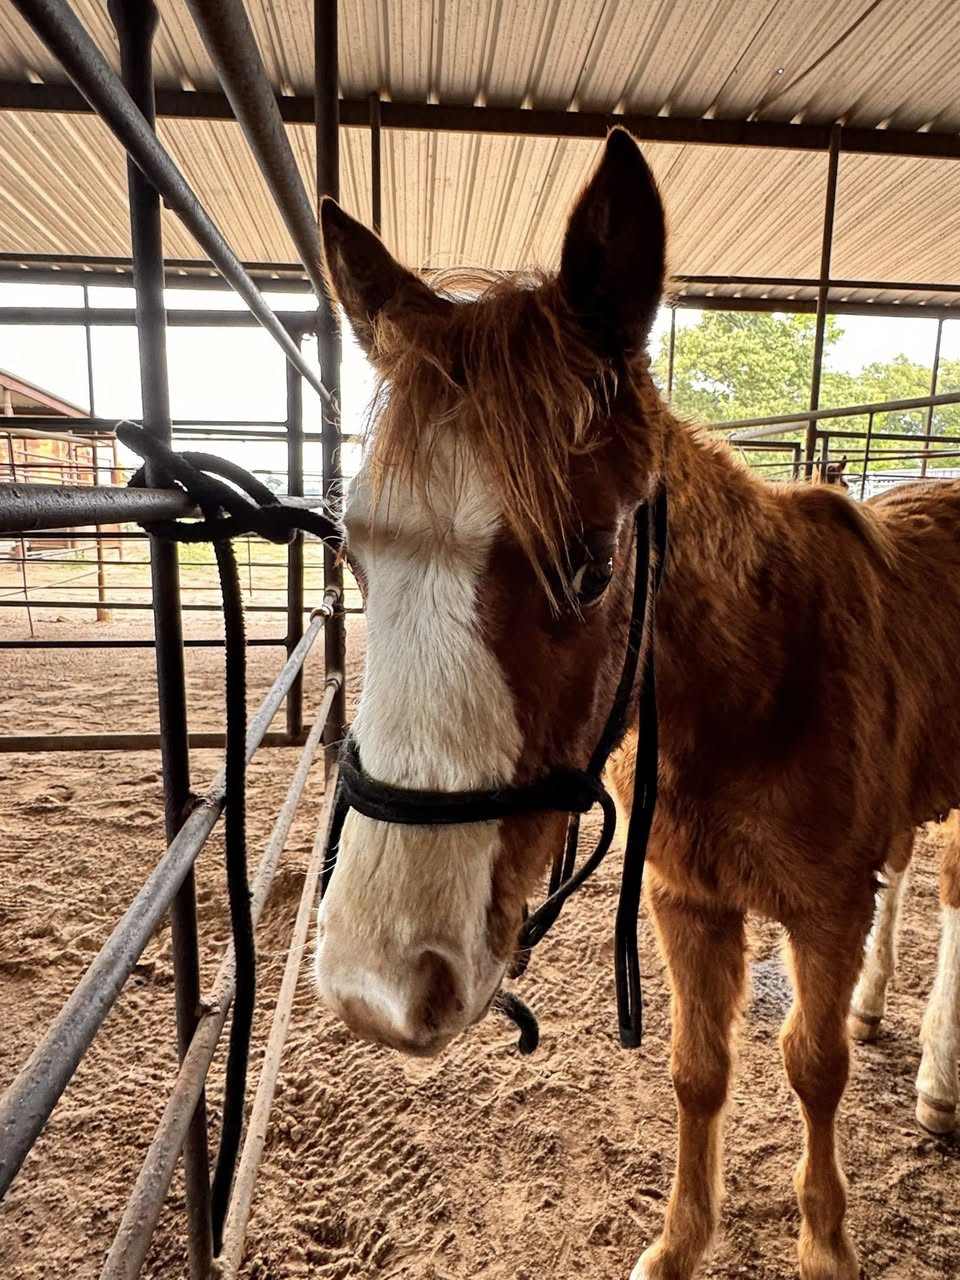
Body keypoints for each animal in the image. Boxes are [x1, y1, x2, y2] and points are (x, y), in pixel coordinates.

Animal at [314, 129, 960, 1280]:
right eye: (355, 555)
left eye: (587, 566)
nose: (374, 986)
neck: (761, 688)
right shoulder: (687, 899)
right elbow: (699, 1069)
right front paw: (678, 1243)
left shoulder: (823, 911)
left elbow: (812, 1066)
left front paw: (826, 1243)